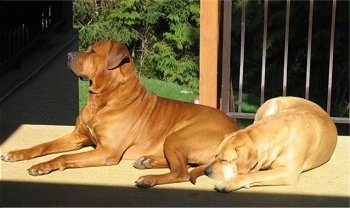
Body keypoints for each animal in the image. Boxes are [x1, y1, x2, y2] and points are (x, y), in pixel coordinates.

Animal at [0, 39, 238, 187]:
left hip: (177, 136)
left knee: (182, 172)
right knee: (185, 165)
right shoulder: (77, 136)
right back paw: (147, 161)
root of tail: (234, 129)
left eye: (92, 51)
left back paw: (149, 178)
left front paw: (42, 167)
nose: (68, 54)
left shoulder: (107, 151)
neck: (102, 99)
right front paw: (17, 153)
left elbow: (64, 156)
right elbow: (44, 145)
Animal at [204, 96, 338, 193]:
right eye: (215, 156)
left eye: (224, 160)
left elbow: (253, 175)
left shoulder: (289, 172)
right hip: (272, 105)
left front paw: (229, 183)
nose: (206, 171)